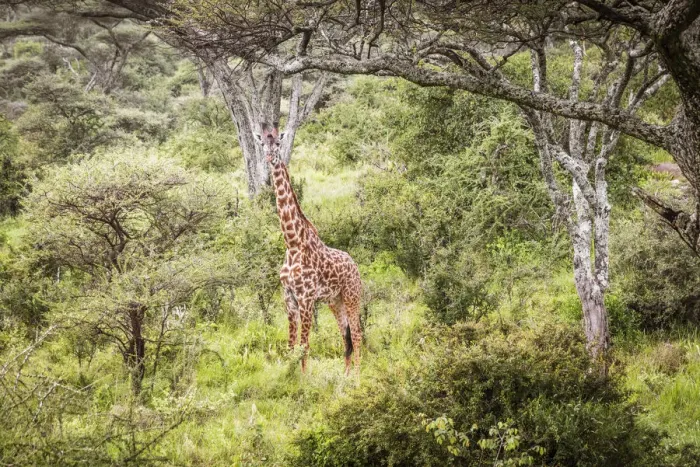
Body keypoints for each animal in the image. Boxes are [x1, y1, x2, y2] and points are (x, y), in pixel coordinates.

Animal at [255, 123, 363, 375]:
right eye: (262, 142)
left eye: (278, 142)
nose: (269, 157)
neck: (292, 243)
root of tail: (355, 265)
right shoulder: (289, 298)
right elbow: (291, 345)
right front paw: (291, 376)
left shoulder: (306, 299)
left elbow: (304, 345)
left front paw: (304, 379)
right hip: (335, 301)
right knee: (346, 336)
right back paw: (345, 375)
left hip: (352, 296)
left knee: (358, 335)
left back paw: (359, 376)